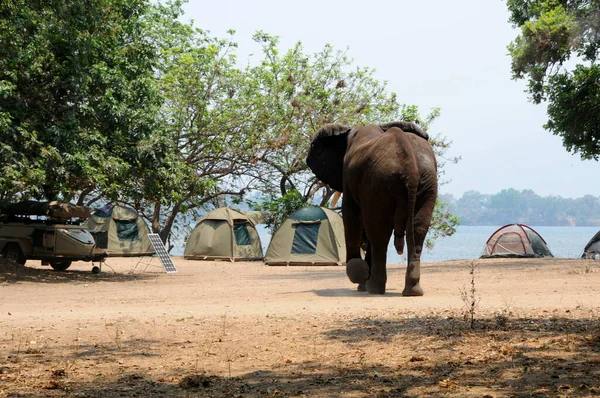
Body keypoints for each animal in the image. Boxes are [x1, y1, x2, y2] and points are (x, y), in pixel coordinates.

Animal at [308, 121, 438, 296]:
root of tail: (410, 165)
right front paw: (361, 282)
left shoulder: (348, 174)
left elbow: (351, 214)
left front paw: (359, 277)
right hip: (425, 181)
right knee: (417, 230)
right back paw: (412, 291)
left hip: (379, 182)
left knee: (378, 233)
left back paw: (374, 288)